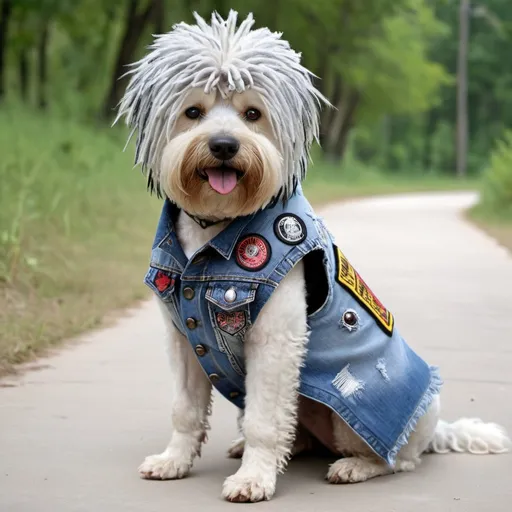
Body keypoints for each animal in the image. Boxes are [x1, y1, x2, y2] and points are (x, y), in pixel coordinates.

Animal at [117, 11, 512, 504]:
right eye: (193, 112)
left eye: (253, 114)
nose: (225, 144)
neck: (216, 230)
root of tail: (431, 427)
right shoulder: (184, 338)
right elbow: (185, 409)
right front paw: (174, 460)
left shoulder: (274, 340)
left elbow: (266, 419)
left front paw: (253, 479)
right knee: (297, 434)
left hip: (353, 420)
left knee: (396, 460)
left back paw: (354, 466)